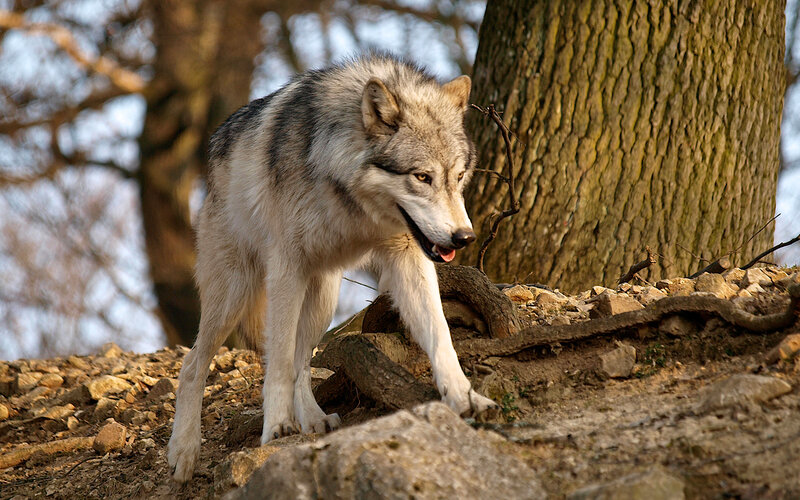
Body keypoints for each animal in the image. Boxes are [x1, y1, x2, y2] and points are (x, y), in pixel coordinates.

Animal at [167, 53, 498, 482]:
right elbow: (277, 360)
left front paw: (464, 396)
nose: (463, 237)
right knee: (194, 365)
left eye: (458, 177)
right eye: (422, 177)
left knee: (302, 360)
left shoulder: (409, 256)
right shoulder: (286, 268)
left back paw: (312, 419)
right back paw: (184, 451)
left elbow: (440, 334)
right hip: (235, 295)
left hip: (323, 297)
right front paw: (276, 427)